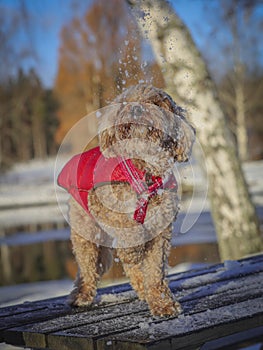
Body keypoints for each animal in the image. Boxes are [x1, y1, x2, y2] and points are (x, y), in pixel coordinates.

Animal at [57, 85, 195, 318]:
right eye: (125, 103)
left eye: (155, 102)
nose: (137, 109)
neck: (142, 173)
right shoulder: (106, 211)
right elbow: (130, 234)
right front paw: (133, 248)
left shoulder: (160, 233)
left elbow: (154, 272)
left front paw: (162, 304)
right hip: (86, 232)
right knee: (87, 265)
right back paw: (81, 295)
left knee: (129, 269)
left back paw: (142, 289)